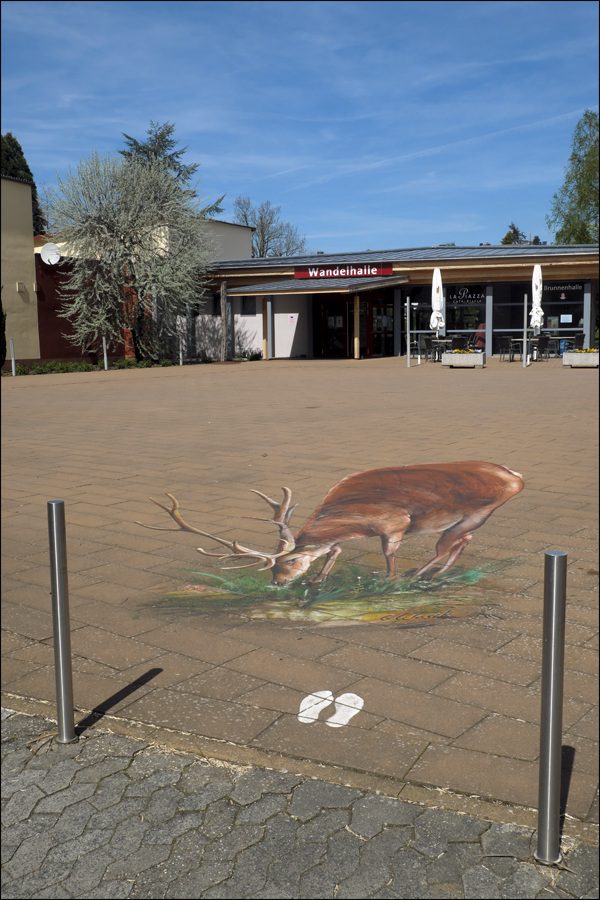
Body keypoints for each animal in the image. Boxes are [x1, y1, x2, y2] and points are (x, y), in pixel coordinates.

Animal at [135, 464, 520, 584]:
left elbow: (388, 559)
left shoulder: (394, 525)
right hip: (466, 521)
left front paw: (390, 581)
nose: (277, 584)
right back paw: (435, 574)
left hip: (474, 513)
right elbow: (332, 550)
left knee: (446, 547)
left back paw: (420, 575)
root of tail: (516, 478)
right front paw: (319, 580)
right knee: (463, 542)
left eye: (289, 560)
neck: (352, 520)